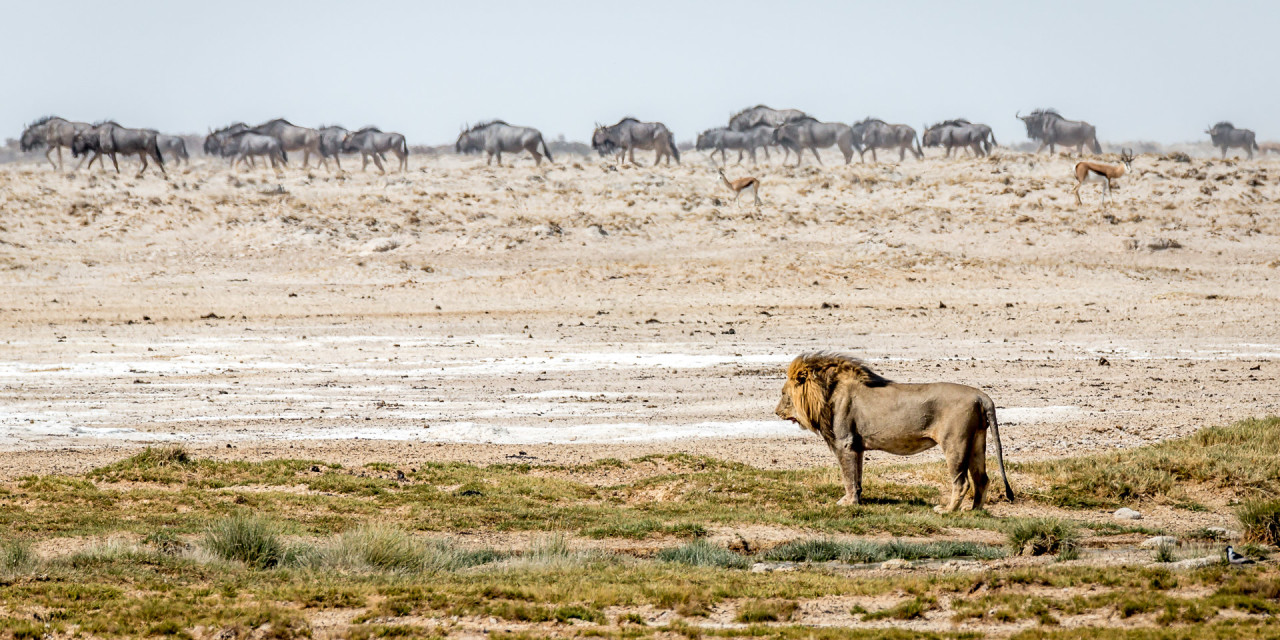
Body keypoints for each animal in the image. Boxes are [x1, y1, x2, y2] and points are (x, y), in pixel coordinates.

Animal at [773, 353, 1013, 512]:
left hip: (955, 443)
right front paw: (857, 500)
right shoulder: (857, 447)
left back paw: (947, 510)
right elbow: (857, 477)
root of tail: (982, 396)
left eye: (783, 393)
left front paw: (847, 503)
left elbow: (848, 476)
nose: (776, 412)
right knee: (982, 479)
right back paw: (974, 511)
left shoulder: (845, 443)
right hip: (977, 441)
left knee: (962, 482)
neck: (827, 393)